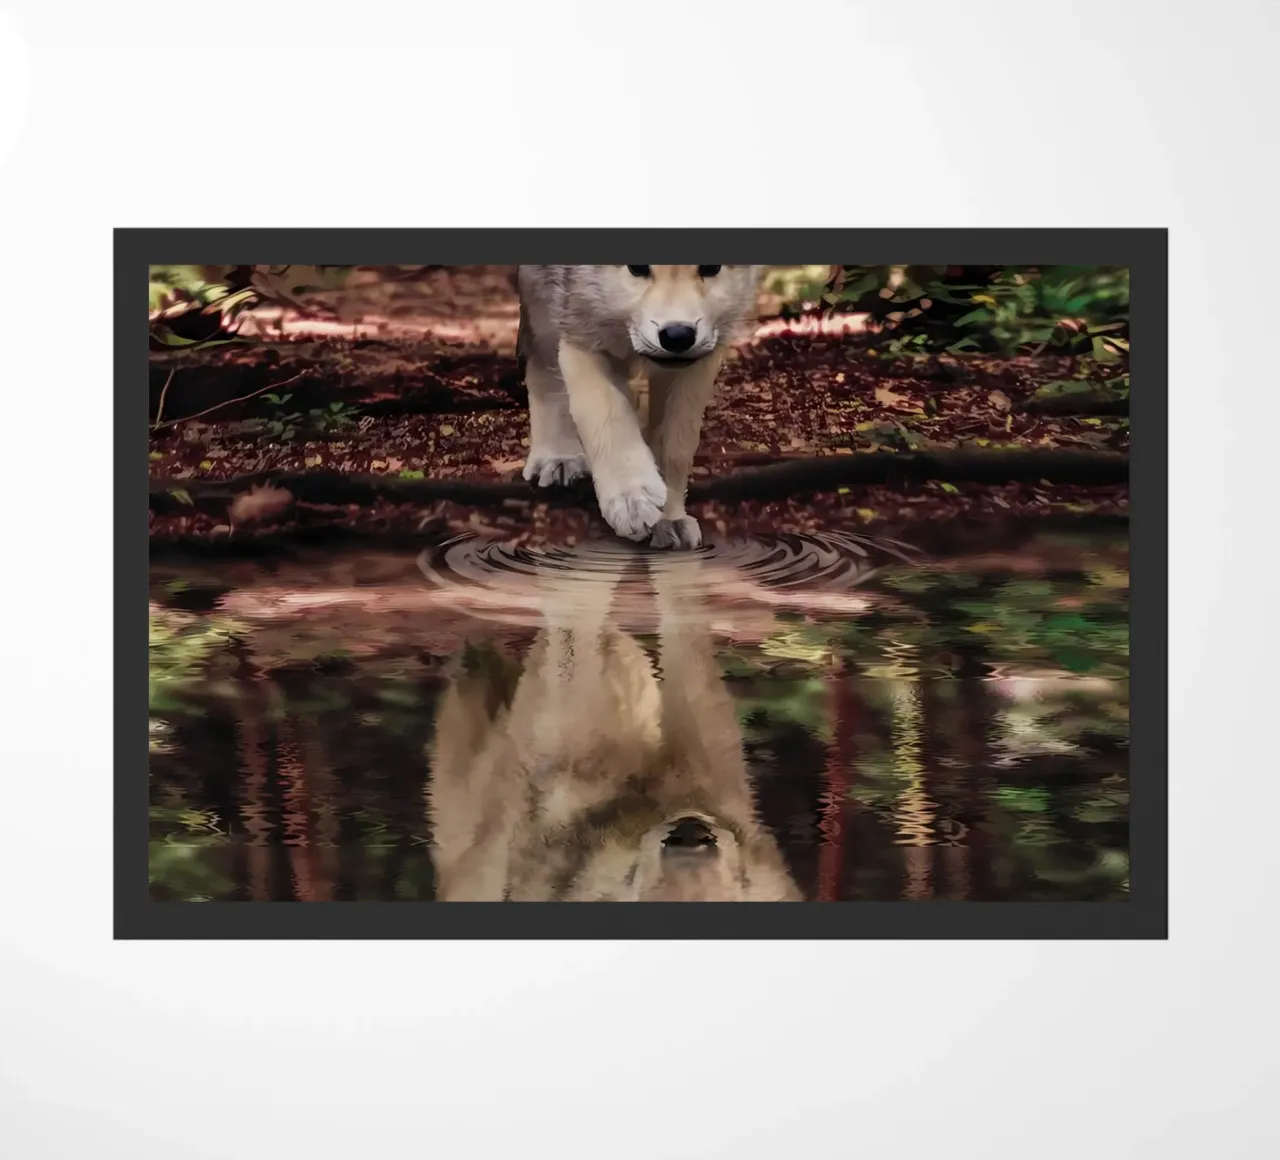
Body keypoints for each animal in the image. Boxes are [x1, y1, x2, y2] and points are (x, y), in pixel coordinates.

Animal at [516, 264, 765, 550]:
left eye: (711, 268)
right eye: (636, 268)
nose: (677, 336)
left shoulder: (699, 361)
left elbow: (675, 447)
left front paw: (669, 518)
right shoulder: (581, 332)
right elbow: (609, 415)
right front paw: (631, 499)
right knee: (543, 365)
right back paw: (557, 456)